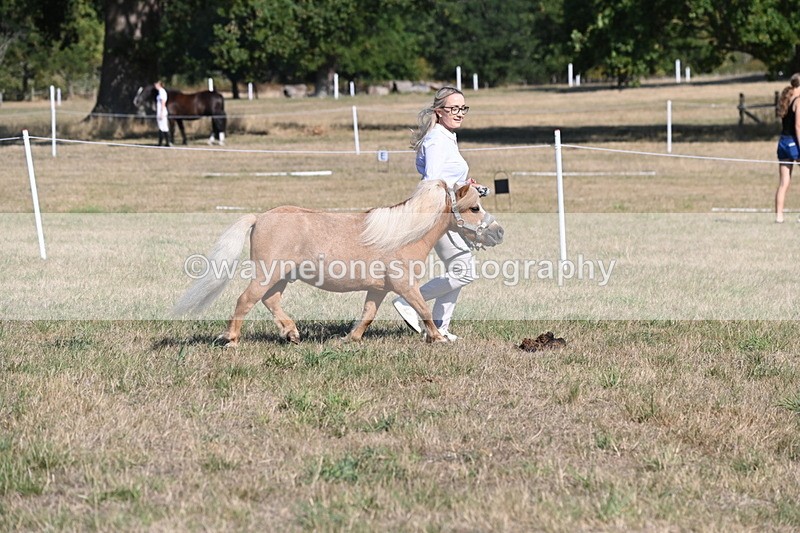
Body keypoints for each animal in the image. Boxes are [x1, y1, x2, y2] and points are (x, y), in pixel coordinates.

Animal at [172, 180, 504, 346]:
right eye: (474, 207)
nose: (499, 232)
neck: (403, 235)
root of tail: (260, 217)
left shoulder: (379, 288)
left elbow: (368, 314)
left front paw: (350, 339)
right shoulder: (404, 284)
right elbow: (423, 308)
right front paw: (437, 338)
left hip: (281, 276)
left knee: (270, 301)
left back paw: (292, 334)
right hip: (268, 273)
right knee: (246, 300)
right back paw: (231, 340)